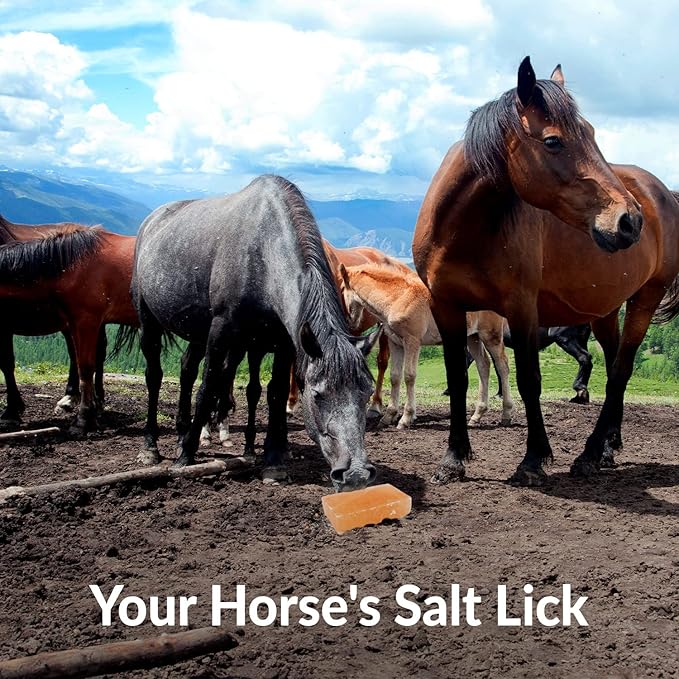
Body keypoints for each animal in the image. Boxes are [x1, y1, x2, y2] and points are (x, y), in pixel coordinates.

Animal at [131, 175, 380, 491]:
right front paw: (186, 455)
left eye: (367, 392)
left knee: (186, 370)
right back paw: (151, 446)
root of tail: (151, 221)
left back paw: (181, 433)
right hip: (149, 321)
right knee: (155, 375)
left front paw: (273, 460)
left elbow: (275, 393)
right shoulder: (220, 332)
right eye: (317, 395)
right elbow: (207, 387)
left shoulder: (285, 342)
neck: (262, 250)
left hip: (197, 332)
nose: (356, 474)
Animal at [339, 261, 514, 429]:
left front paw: (405, 418)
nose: (349, 321)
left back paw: (506, 414)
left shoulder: (412, 340)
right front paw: (388, 416)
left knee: (502, 366)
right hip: (473, 337)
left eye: (341, 289)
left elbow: (409, 376)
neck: (398, 297)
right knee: (483, 365)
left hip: (490, 335)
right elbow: (395, 376)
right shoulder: (395, 342)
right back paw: (477, 416)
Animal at [412, 57, 679, 486]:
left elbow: (528, 380)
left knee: (621, 368)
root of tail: (662, 193)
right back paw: (608, 447)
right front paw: (453, 459)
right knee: (612, 368)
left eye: (591, 133)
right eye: (553, 141)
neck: (464, 230)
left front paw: (533, 459)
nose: (629, 220)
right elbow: (458, 378)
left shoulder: (522, 309)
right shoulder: (446, 307)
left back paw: (590, 453)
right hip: (605, 309)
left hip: (646, 298)